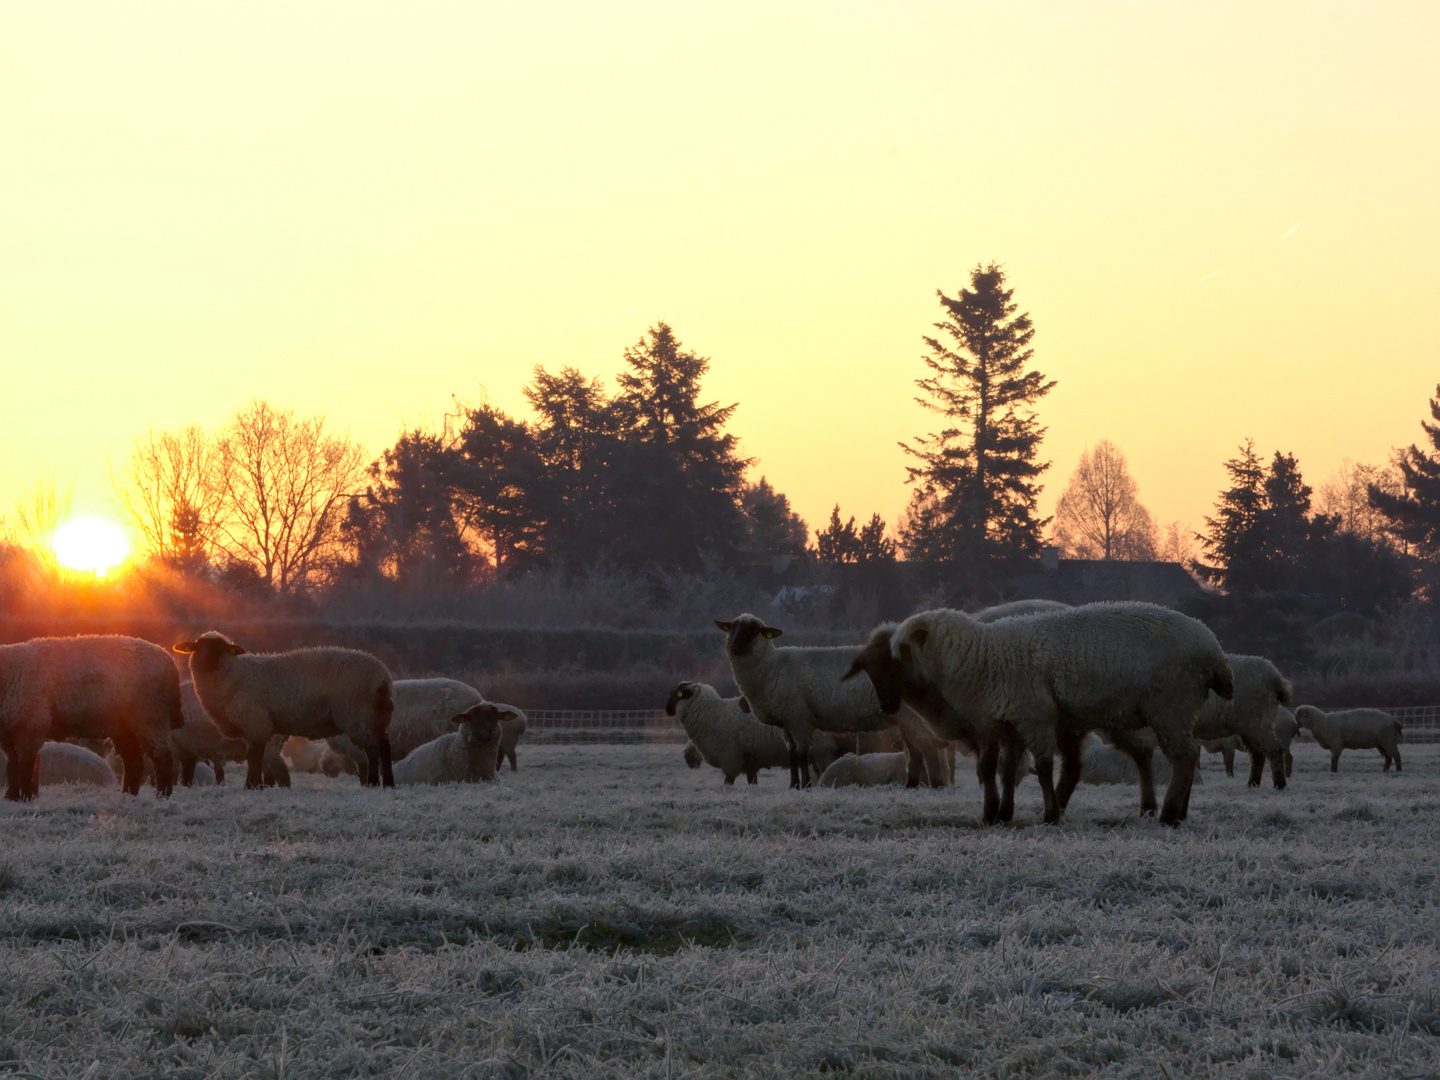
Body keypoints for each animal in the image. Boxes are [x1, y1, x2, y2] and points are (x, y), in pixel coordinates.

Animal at [0, 633, 182, 806]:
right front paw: (12, 797)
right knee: (134, 760)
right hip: (124, 725)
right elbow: (12, 767)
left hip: (151, 716)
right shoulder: (9, 732)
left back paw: (163, 796)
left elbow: (26, 767)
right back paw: (128, 795)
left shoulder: (31, 726)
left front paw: (26, 797)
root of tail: (170, 662)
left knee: (162, 758)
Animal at [711, 613, 950, 789]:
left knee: (927, 747)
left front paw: (806, 785)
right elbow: (791, 755)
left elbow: (802, 754)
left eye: (754, 631)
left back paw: (935, 785)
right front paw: (793, 785)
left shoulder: (799, 718)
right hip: (905, 717)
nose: (734, 646)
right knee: (915, 751)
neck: (772, 667)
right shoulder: (786, 723)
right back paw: (911, 786)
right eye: (732, 627)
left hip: (911, 715)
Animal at [881, 601, 1232, 829]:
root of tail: (1214, 651)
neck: (984, 656)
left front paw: (1047, 815)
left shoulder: (1034, 716)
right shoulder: (1012, 723)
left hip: (1171, 705)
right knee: (1186, 754)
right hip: (1176, 710)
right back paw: (1178, 812)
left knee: (1184, 756)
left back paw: (1169, 814)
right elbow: (1008, 769)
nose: (888, 700)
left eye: (903, 650)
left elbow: (1043, 767)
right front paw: (1005, 814)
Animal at [1186, 656, 1301, 789]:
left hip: (1258, 723)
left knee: (1275, 750)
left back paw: (1279, 785)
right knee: (1258, 754)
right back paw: (1253, 784)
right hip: (1250, 727)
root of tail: (1273, 673)